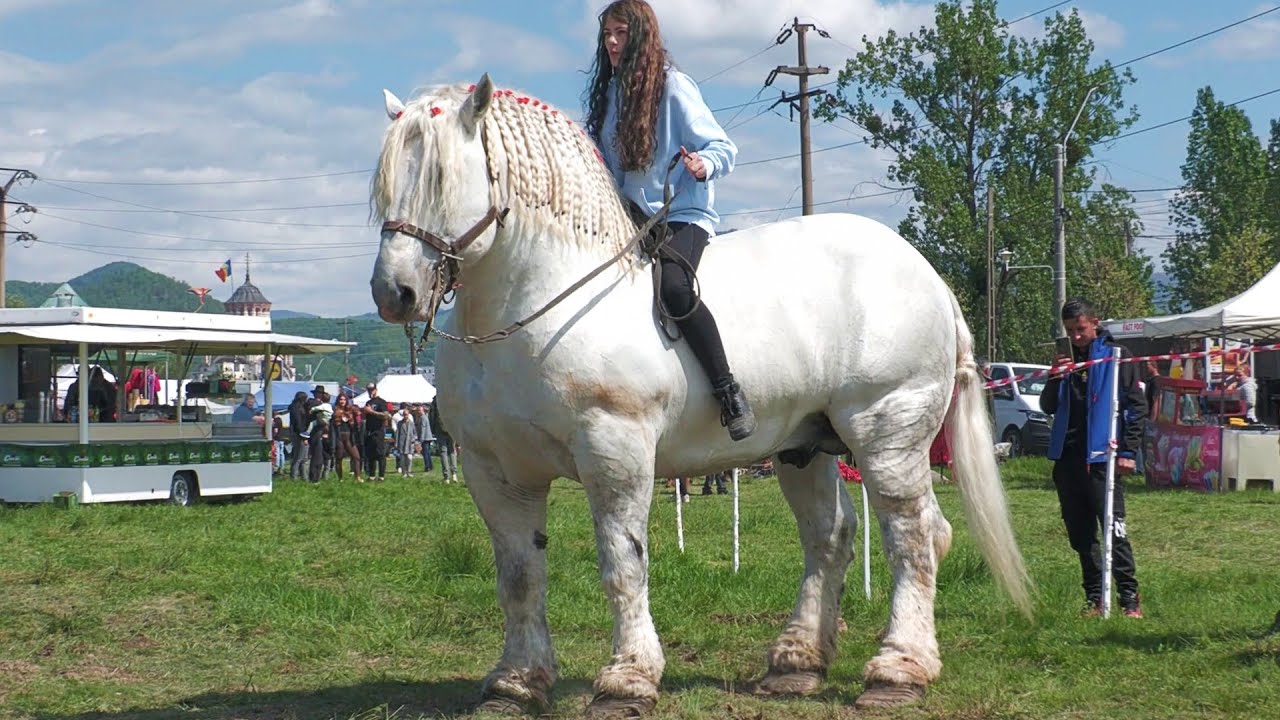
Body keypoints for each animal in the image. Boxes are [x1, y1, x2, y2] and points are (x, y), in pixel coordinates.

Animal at [368, 74, 1031, 717]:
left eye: (441, 178)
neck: (532, 304)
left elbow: (623, 564)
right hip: (804, 448)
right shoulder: (496, 470)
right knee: (830, 537)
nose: (394, 292)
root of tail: (928, 277)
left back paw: (899, 670)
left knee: (914, 536)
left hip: (886, 433)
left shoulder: (615, 453)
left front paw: (628, 680)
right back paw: (796, 663)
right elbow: (519, 576)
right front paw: (516, 683)